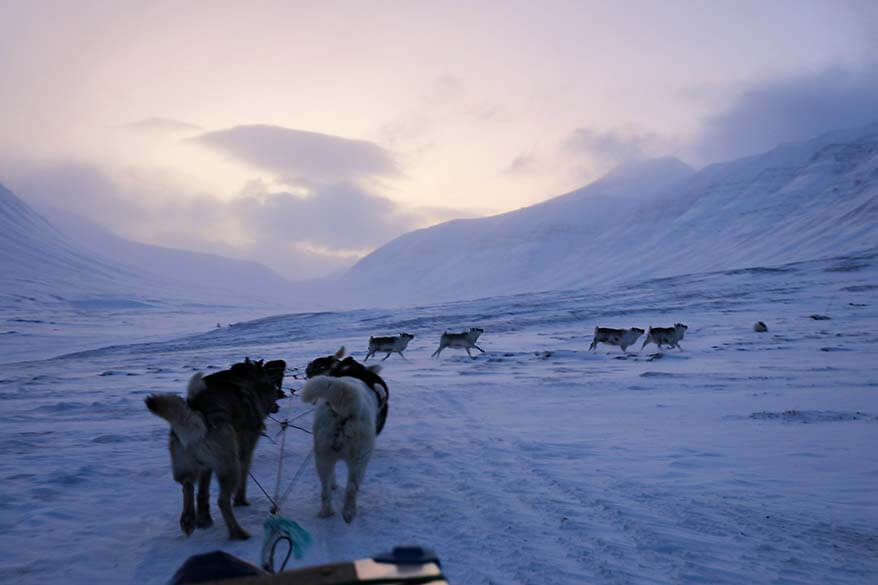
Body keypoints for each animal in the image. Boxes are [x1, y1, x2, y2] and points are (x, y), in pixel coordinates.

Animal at [145, 358, 286, 540]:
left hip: (187, 466)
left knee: (187, 485)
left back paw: (188, 520)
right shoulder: (245, 454)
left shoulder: (206, 467)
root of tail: (198, 413)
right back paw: (238, 532)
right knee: (222, 501)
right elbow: (243, 483)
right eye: (273, 387)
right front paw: (241, 502)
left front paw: (203, 520)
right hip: (230, 467)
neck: (247, 379)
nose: (279, 396)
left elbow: (202, 493)